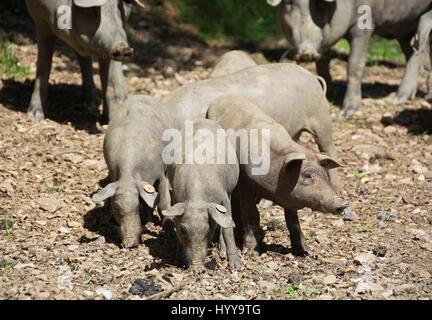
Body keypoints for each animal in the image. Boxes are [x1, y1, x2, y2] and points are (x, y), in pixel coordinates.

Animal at [92, 94, 171, 249]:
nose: (130, 243)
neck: (128, 176)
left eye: (138, 205)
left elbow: (163, 202)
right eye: (116, 207)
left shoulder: (160, 173)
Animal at [163, 119, 243, 268]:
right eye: (183, 229)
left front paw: (236, 266)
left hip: (230, 188)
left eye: (207, 230)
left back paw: (223, 254)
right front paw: (177, 261)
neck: (197, 198)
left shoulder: (223, 195)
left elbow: (228, 227)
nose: (197, 268)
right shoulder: (176, 198)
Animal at [208, 94, 350, 255]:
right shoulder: (245, 185)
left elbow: (293, 221)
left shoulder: (291, 196)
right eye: (307, 175)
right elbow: (252, 216)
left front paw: (306, 252)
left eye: (325, 175)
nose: (343, 203)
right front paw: (252, 252)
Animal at [264, 0, 432, 117]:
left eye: (319, 2)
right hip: (404, 28)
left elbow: (354, 65)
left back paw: (403, 98)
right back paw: (402, 97)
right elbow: (323, 63)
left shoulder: (364, 26)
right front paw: (327, 96)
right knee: (412, 52)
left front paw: (347, 113)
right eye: (288, 3)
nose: (306, 52)